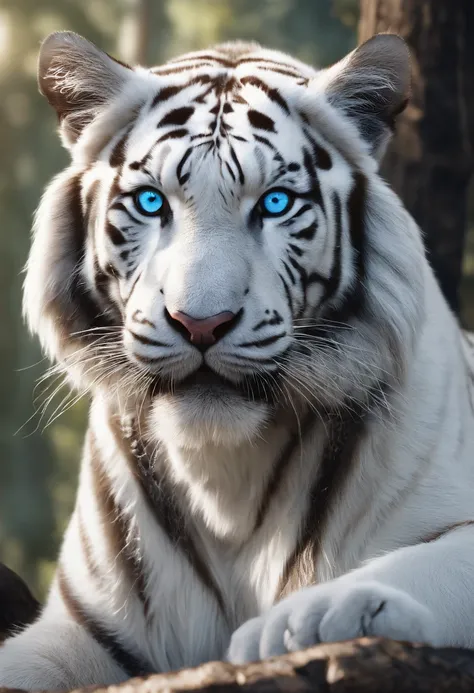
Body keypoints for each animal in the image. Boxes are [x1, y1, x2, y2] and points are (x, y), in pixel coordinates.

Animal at [0, 29, 474, 688]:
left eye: (275, 203)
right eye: (152, 202)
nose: (201, 322)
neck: (224, 476)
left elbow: (423, 562)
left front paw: (311, 619)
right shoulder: (84, 626)